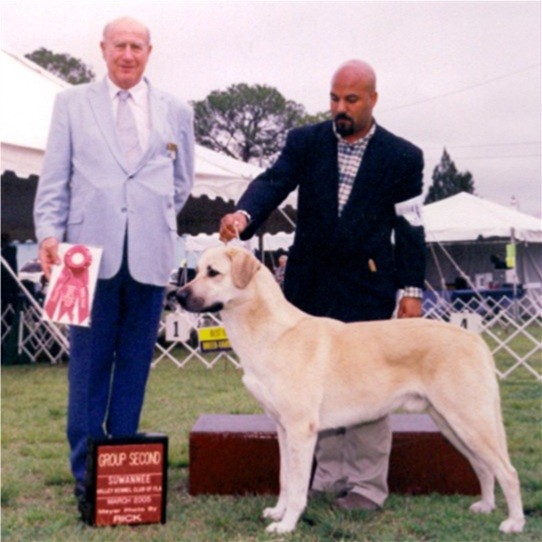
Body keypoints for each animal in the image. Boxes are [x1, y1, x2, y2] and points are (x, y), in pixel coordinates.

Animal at [178, 246, 528, 536]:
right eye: (195, 271)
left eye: (213, 272)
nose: (178, 297)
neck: (269, 330)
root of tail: (475, 338)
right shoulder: (282, 428)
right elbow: (284, 479)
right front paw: (277, 513)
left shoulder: (301, 429)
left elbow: (297, 486)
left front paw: (287, 525)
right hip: (450, 423)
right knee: (484, 467)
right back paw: (486, 506)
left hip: (470, 421)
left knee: (508, 471)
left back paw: (514, 522)